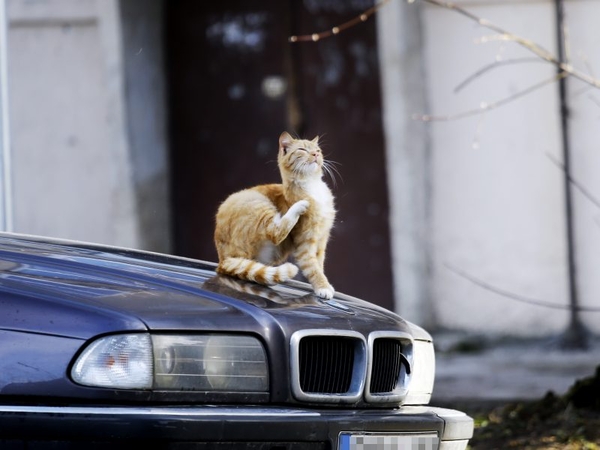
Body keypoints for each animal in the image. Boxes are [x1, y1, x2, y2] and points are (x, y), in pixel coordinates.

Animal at [214, 130, 338, 298]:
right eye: (302, 150)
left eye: (318, 150)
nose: (315, 154)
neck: (312, 187)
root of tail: (222, 260)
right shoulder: (305, 244)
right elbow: (313, 268)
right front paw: (323, 287)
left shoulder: (321, 241)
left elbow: (319, 264)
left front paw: (324, 283)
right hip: (258, 203)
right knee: (275, 232)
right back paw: (299, 206)